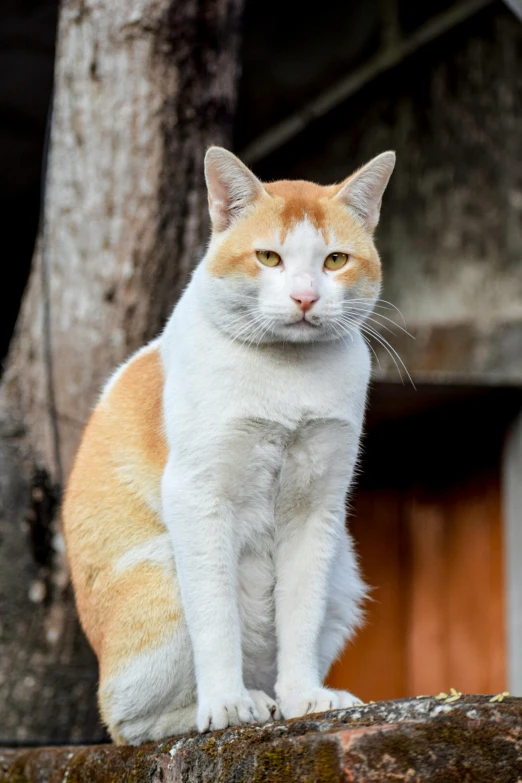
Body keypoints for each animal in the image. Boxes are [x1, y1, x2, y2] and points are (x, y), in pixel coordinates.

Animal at [62, 147, 394, 748]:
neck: (288, 374)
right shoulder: (198, 498)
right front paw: (224, 706)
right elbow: (217, 622)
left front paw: (305, 698)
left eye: (334, 260)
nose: (306, 296)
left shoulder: (316, 510)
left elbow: (299, 615)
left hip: (344, 576)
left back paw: (281, 697)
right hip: (164, 569)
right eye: (268, 257)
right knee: (127, 722)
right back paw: (230, 706)